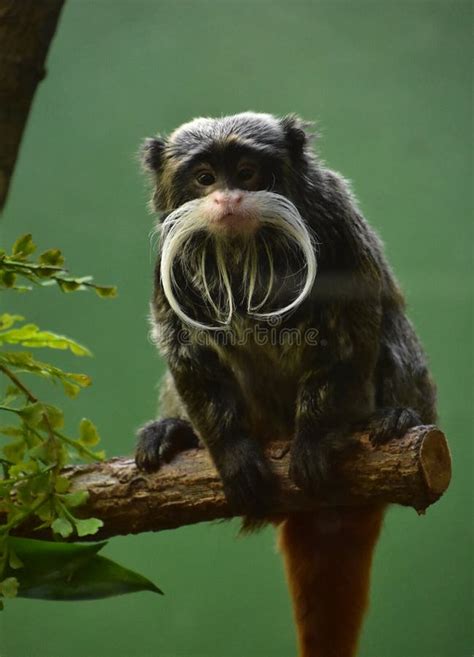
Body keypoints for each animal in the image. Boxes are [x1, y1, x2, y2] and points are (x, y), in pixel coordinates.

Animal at [134, 113, 436, 656]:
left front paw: (313, 441)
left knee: (390, 327)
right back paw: (173, 431)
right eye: (205, 178)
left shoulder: (336, 226)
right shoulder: (170, 255)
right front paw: (232, 454)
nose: (228, 198)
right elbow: (185, 351)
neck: (243, 250)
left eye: (247, 173)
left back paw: (397, 418)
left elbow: (351, 330)